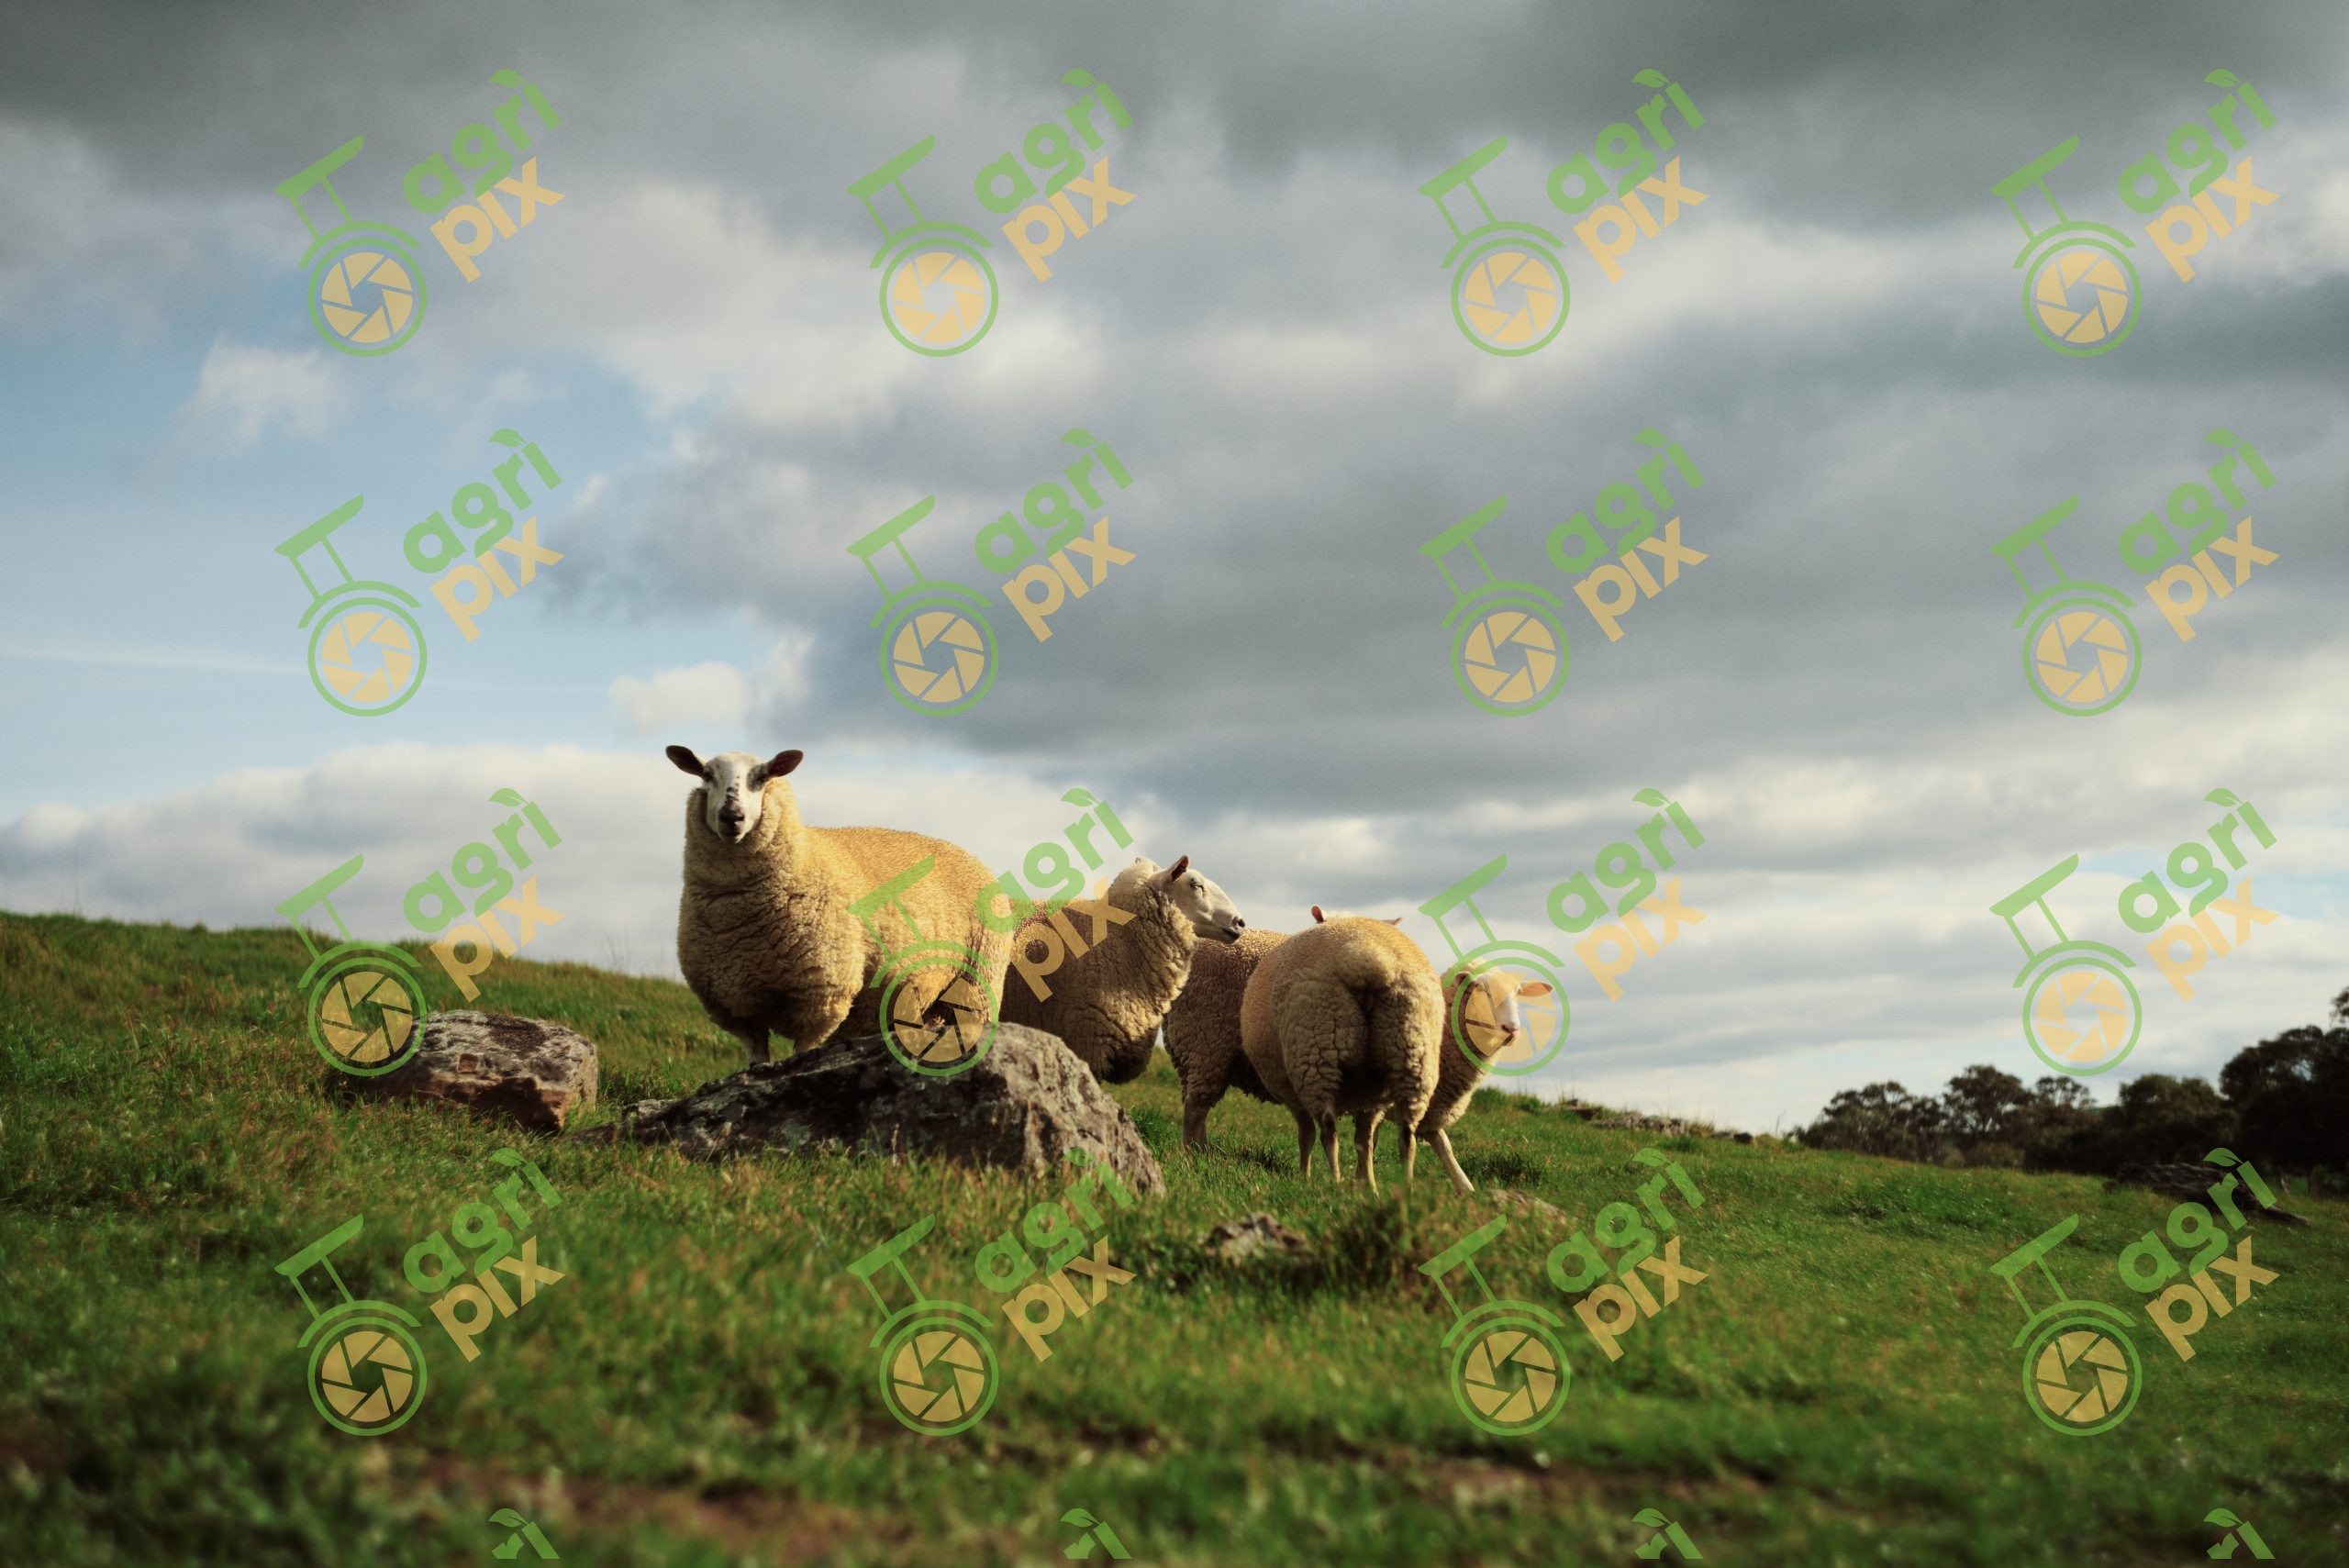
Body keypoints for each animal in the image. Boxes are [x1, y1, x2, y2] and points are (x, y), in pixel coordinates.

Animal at [667, 746, 1010, 1067]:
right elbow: (755, 1062)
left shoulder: (821, 997)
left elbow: (803, 1052)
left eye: (763, 777)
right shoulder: (737, 1007)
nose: (732, 816)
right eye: (706, 775)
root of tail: (966, 852)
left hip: (979, 984)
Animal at [1238, 914, 1443, 1190]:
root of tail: (1368, 959)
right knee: (1407, 1133)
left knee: (1327, 1129)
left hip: (1315, 1051)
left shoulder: (1293, 1095)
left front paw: (1304, 1177)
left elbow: (1306, 1135)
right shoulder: (1372, 1099)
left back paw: (1335, 1181)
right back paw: (1406, 1187)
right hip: (1412, 1052)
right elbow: (1364, 1142)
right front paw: (1368, 1185)